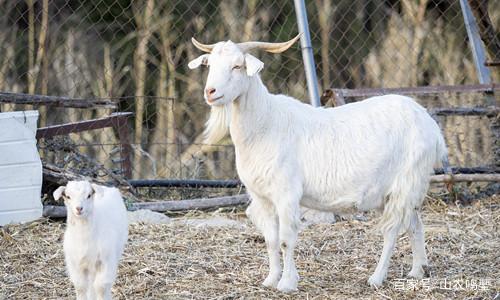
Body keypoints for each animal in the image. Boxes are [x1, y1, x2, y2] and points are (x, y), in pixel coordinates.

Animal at [188, 34, 450, 292]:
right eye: (209, 65)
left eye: (237, 66)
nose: (210, 92)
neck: (265, 124)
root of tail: (429, 124)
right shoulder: (262, 197)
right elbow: (271, 240)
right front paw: (270, 280)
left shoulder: (286, 194)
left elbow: (285, 240)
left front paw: (287, 283)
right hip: (399, 190)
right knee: (415, 224)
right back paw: (417, 271)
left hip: (405, 183)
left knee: (393, 230)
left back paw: (376, 278)